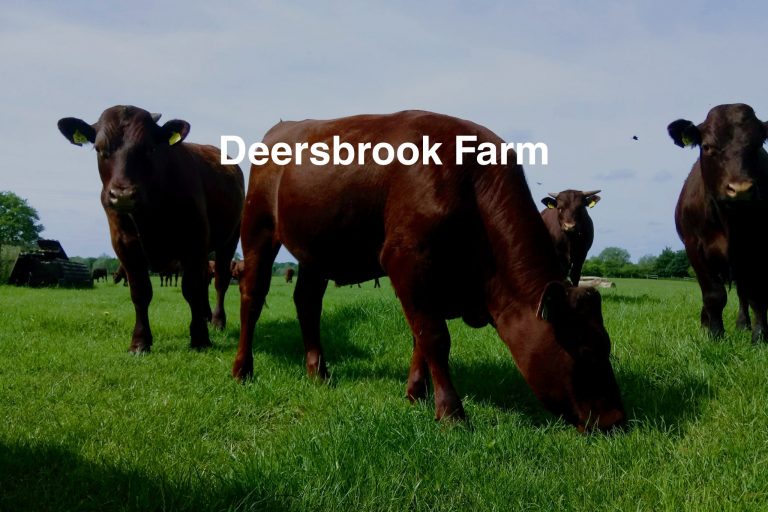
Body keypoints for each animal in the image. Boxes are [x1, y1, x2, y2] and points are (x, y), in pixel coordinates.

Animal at [57, 105, 245, 352]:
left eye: (149, 148)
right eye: (99, 148)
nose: (123, 195)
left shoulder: (194, 240)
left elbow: (192, 288)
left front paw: (200, 338)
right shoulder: (124, 245)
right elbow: (140, 292)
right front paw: (140, 342)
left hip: (229, 239)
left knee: (220, 281)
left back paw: (216, 320)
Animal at [234, 110, 625, 432]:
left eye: (606, 345)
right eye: (586, 351)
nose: (615, 420)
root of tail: (281, 128)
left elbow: (420, 337)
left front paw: (415, 394)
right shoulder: (406, 259)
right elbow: (434, 336)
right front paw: (451, 413)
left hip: (318, 249)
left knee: (307, 302)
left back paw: (319, 372)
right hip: (257, 226)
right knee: (253, 296)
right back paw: (243, 370)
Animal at [669, 103, 768, 342]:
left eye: (759, 143)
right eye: (707, 146)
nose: (740, 189)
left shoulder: (758, 247)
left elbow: (757, 295)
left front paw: (760, 336)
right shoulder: (694, 246)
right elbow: (713, 294)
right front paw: (714, 334)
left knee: (744, 292)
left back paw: (743, 325)